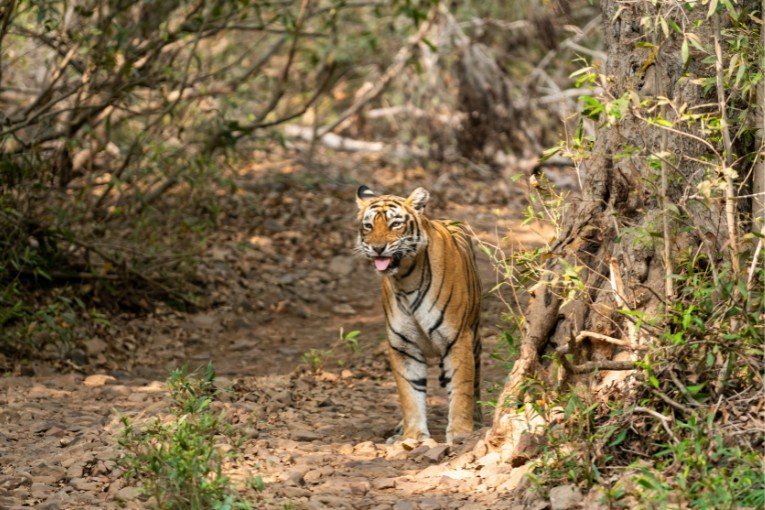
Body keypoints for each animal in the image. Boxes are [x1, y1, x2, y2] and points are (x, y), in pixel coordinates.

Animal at [356, 185, 480, 444]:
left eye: (395, 224)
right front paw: (413, 436)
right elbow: (410, 392)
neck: (405, 279)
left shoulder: (458, 339)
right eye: (368, 225)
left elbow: (462, 387)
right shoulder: (403, 346)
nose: (378, 248)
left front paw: (461, 434)